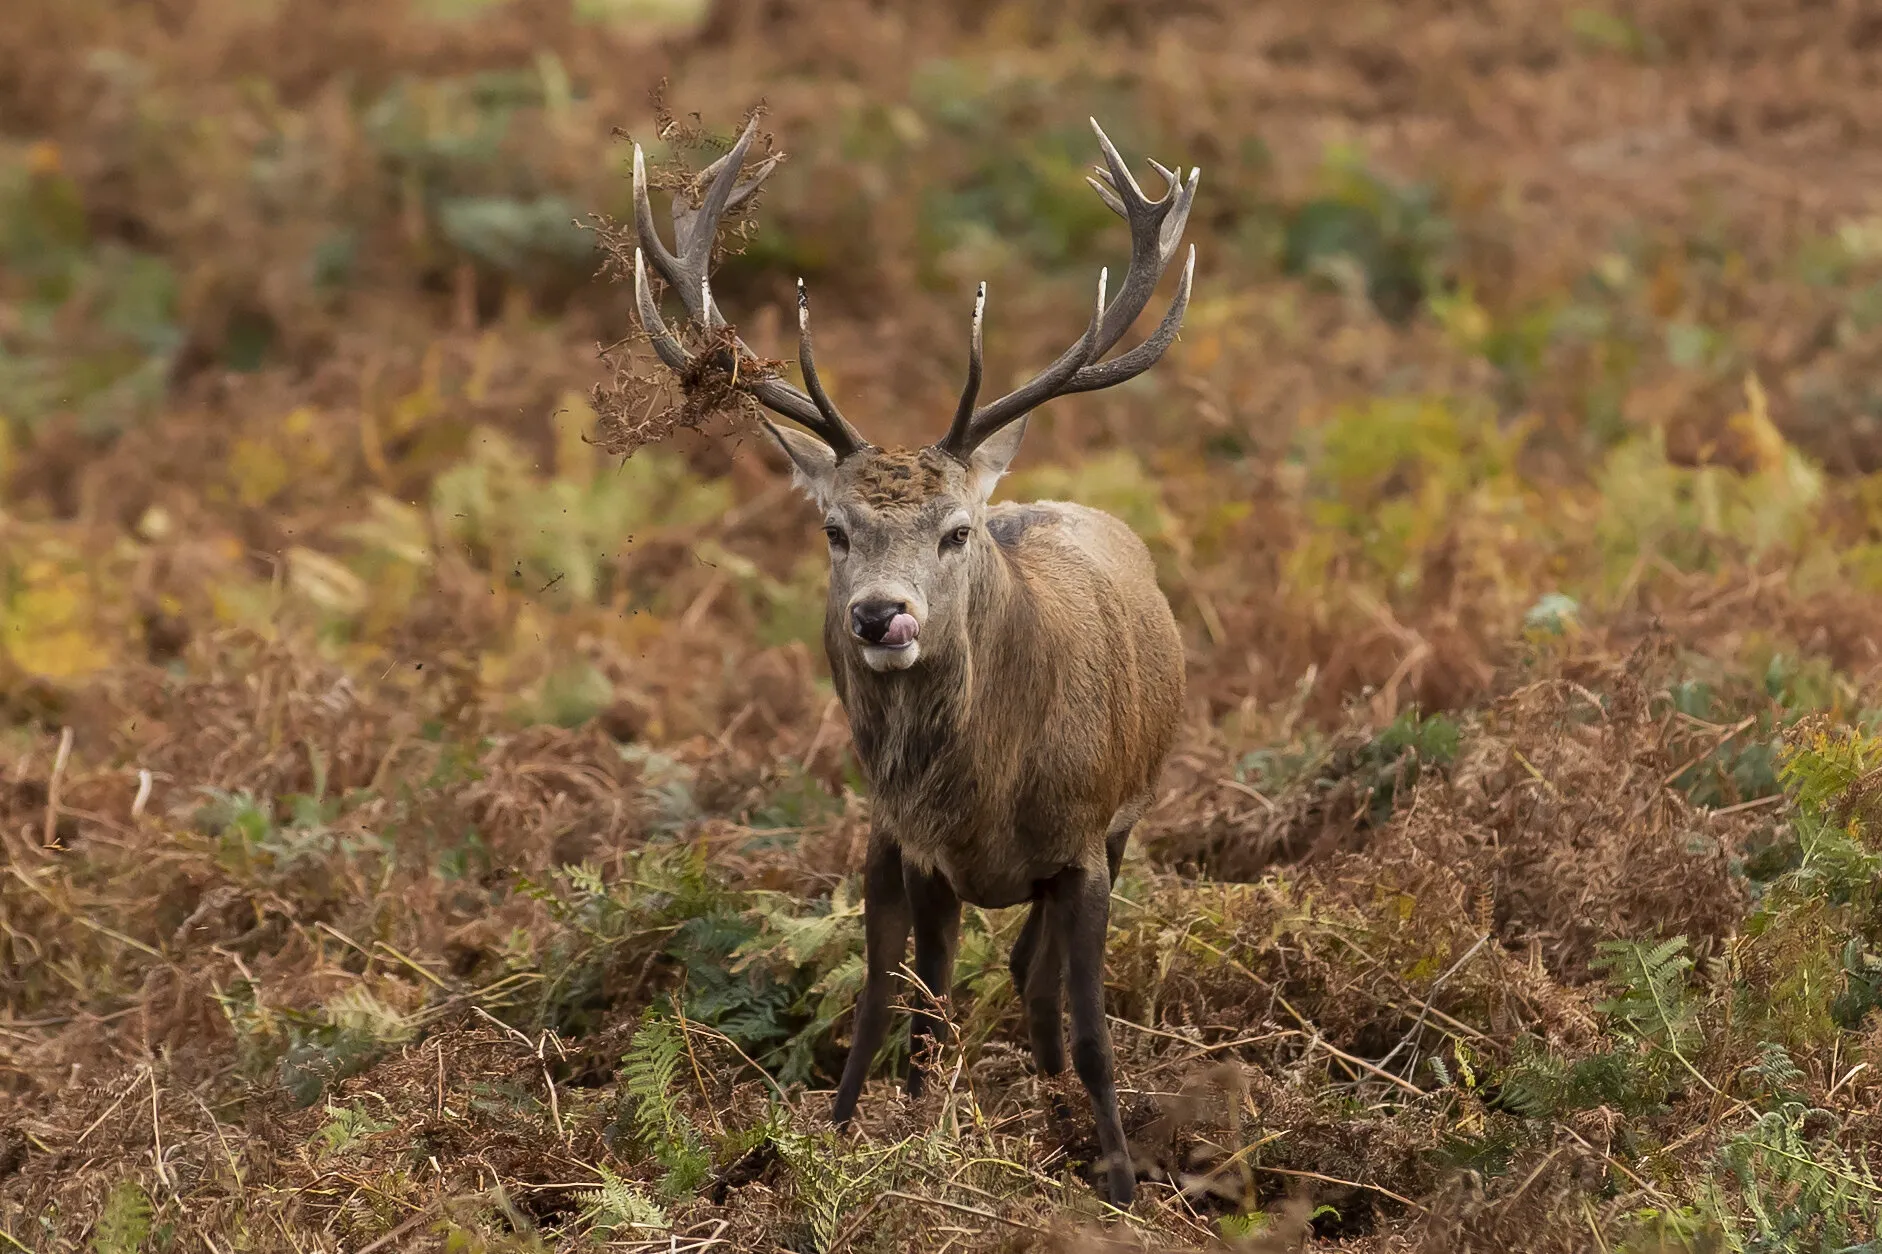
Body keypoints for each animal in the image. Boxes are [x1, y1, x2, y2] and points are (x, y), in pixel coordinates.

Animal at [627, 114, 1197, 1207]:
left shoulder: (1087, 839)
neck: (990, 797)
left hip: (1121, 822)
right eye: (835, 529)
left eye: (954, 530)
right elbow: (919, 1019)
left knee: (1033, 981)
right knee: (885, 1005)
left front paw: (1117, 1176)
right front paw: (911, 1148)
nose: (881, 617)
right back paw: (839, 1127)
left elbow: (1094, 1029)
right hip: (881, 845)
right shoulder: (919, 852)